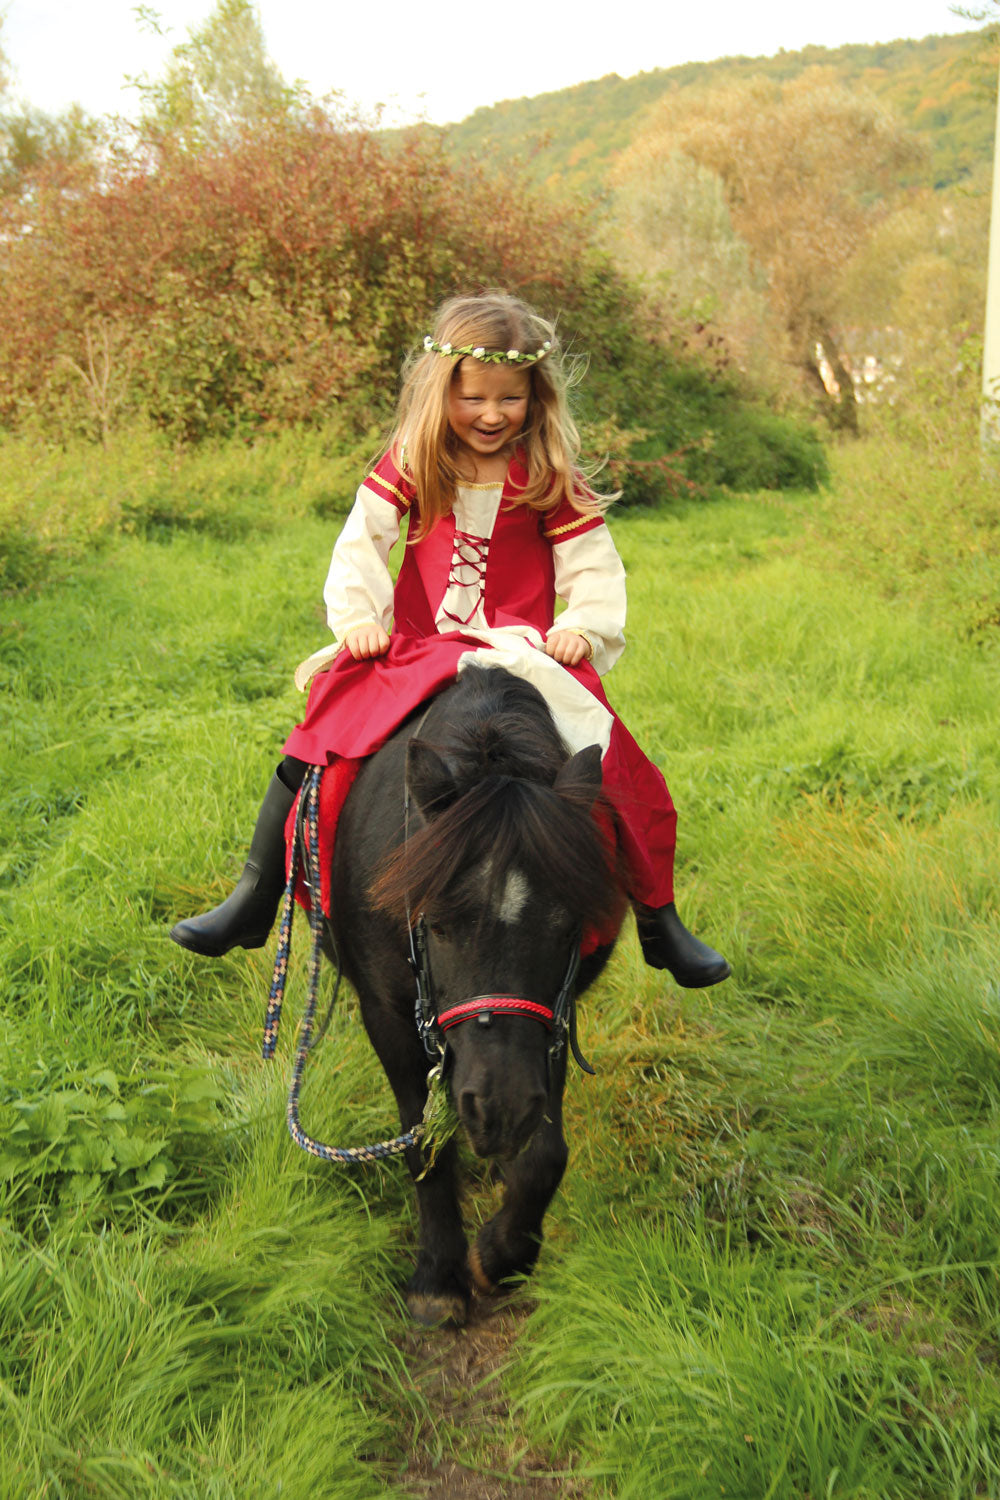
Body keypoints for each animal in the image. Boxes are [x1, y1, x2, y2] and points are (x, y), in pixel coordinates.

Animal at [328, 669, 626, 1326]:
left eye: (567, 928)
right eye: (436, 925)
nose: (499, 1108)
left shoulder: (553, 1018)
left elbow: (546, 1154)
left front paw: (501, 1257)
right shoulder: (388, 1018)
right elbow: (424, 1146)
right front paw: (438, 1280)